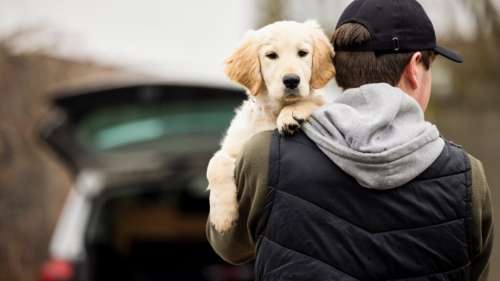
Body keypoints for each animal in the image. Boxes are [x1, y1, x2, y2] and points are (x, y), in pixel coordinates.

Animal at [207, 19, 336, 232]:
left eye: (302, 53)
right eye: (271, 55)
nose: (291, 80)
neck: (273, 111)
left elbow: (314, 102)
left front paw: (292, 113)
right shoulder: (235, 146)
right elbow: (215, 163)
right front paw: (223, 216)